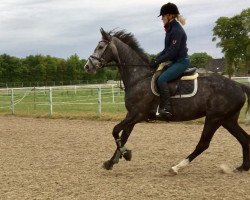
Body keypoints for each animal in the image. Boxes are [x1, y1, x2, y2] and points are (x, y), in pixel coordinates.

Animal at [84, 28, 250, 174]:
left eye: (100, 47)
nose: (87, 66)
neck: (139, 78)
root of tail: (239, 86)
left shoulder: (137, 115)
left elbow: (115, 131)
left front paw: (126, 154)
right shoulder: (131, 116)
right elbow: (123, 136)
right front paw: (111, 162)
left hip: (214, 118)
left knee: (203, 144)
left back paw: (176, 167)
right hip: (227, 120)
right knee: (244, 139)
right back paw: (243, 167)